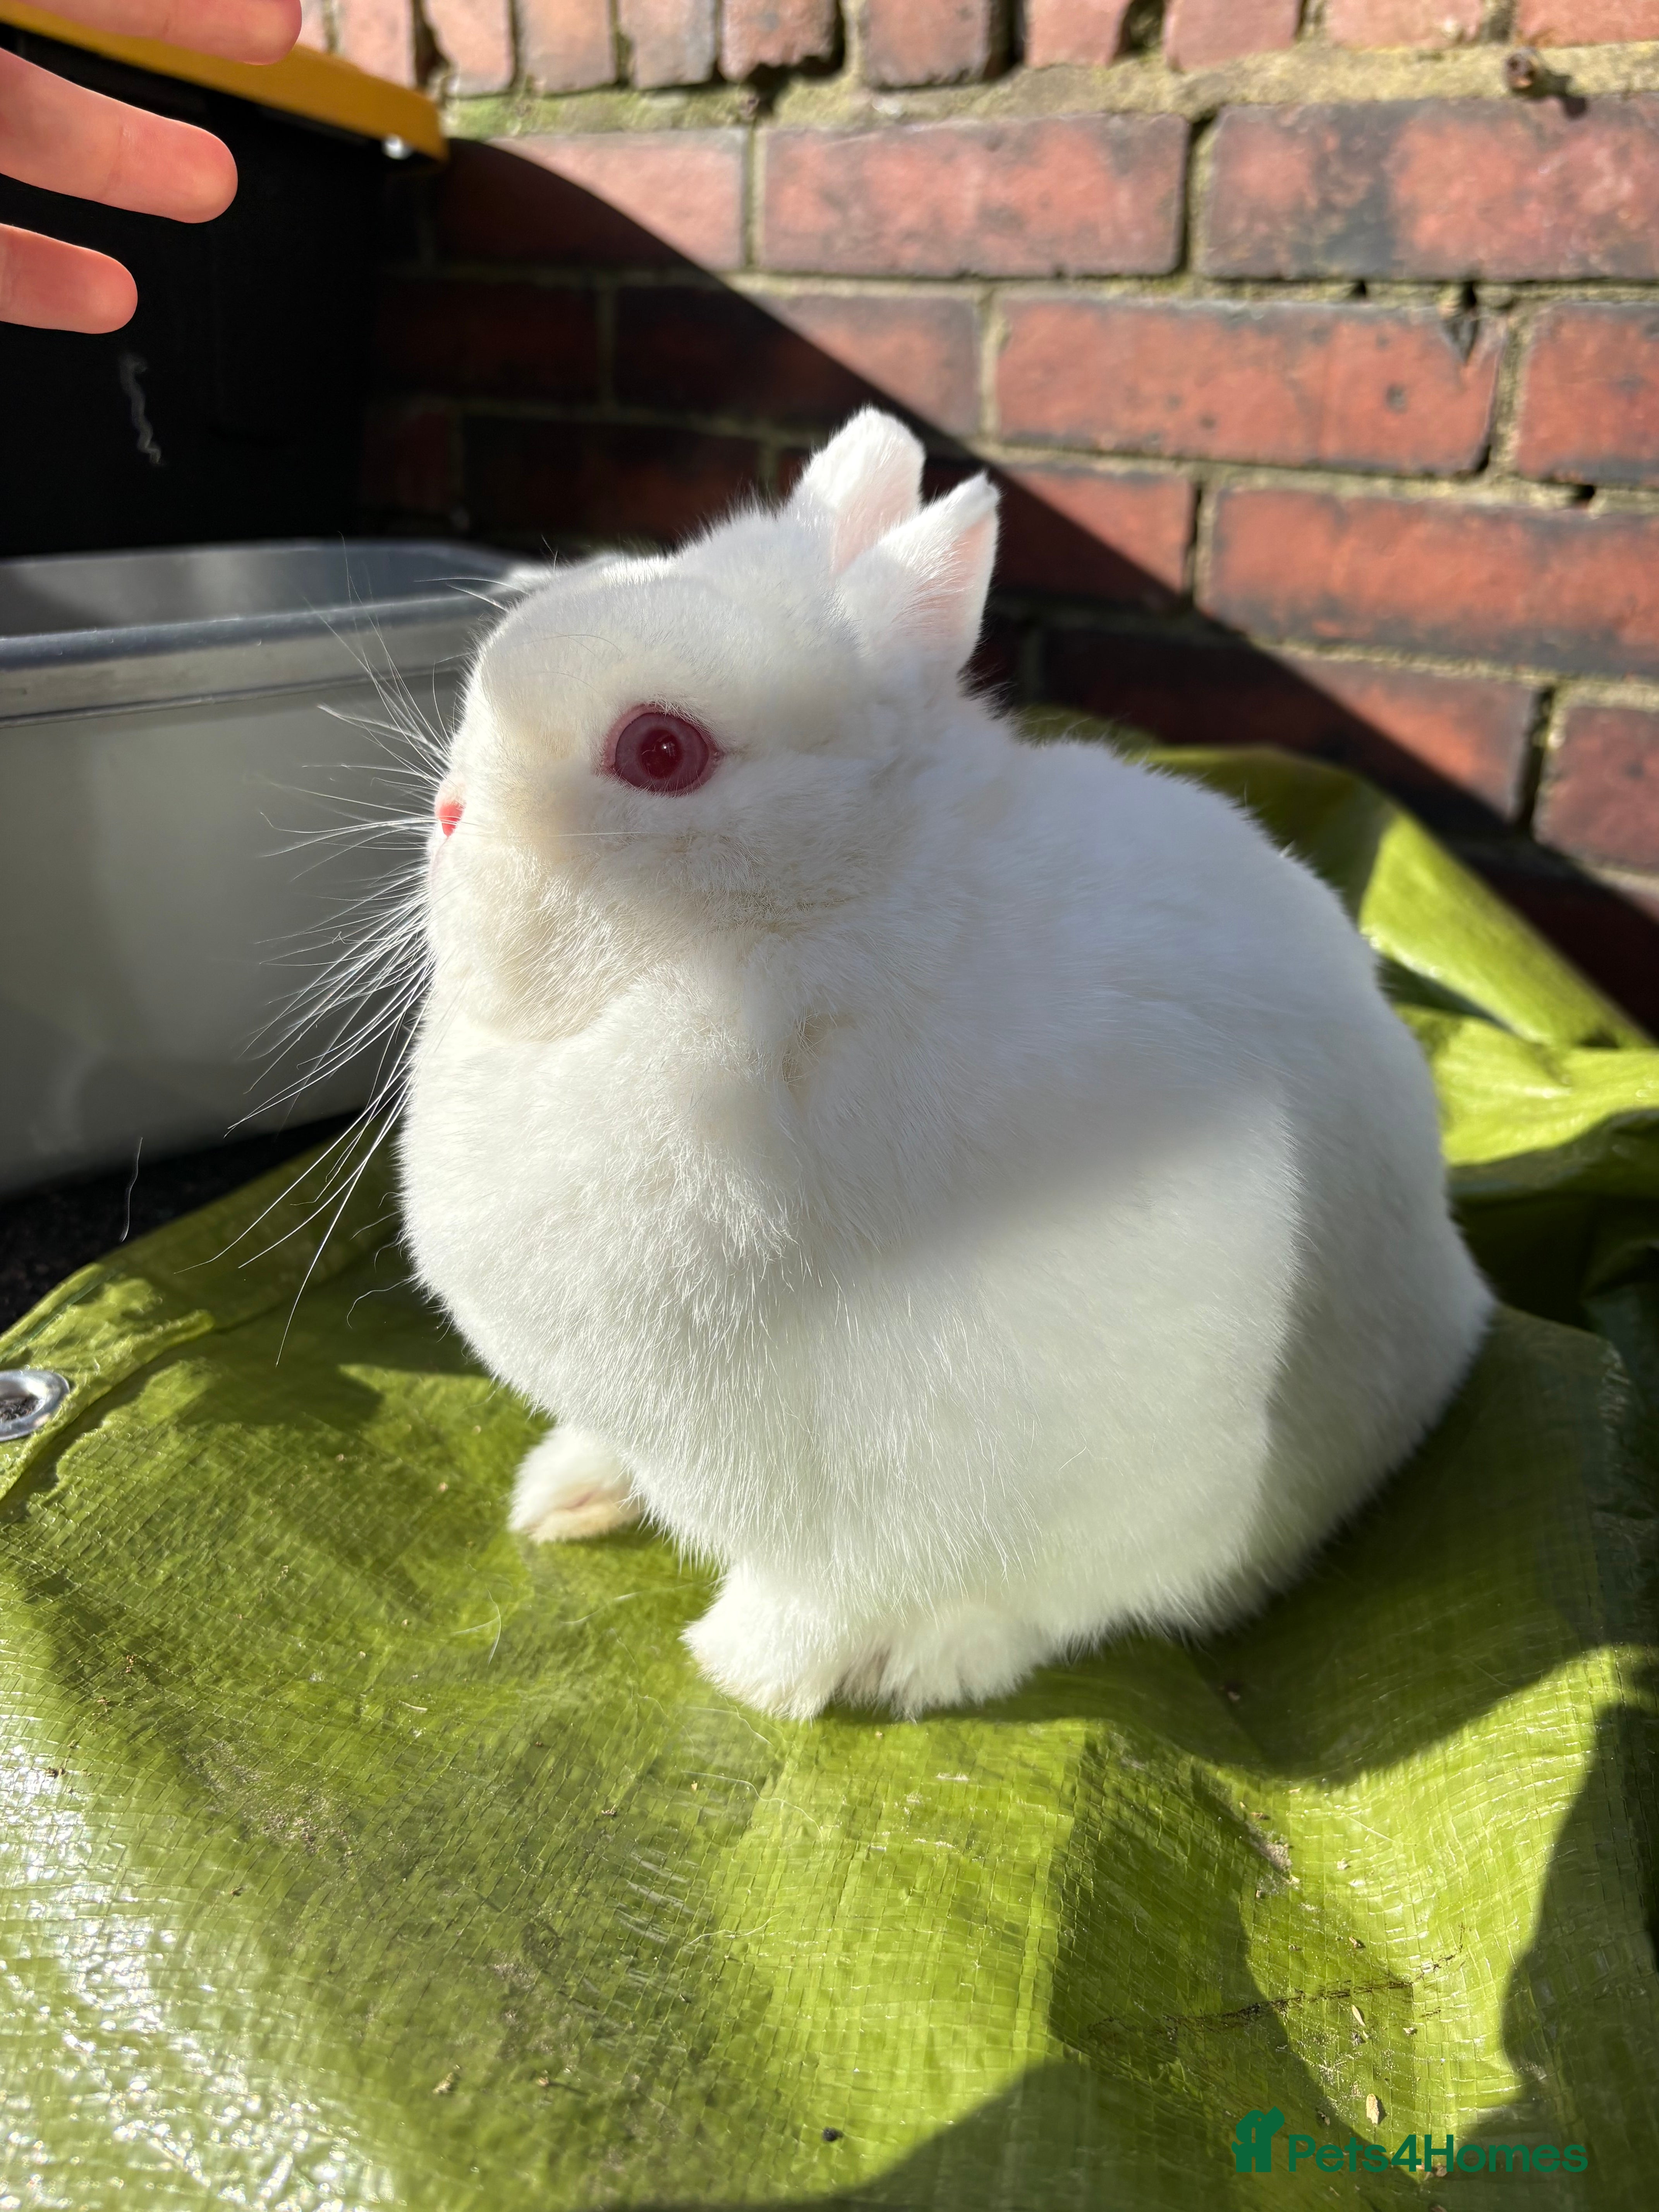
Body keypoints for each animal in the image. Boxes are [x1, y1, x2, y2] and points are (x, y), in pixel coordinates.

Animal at [400, 408, 1492, 1721]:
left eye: (661, 750)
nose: (449, 815)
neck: (793, 944)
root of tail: (1460, 1301)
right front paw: (556, 1499)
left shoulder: (891, 1499)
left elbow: (839, 1591)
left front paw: (748, 1672)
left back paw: (928, 1658)